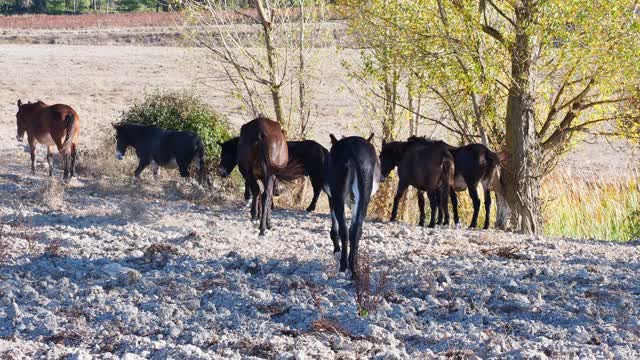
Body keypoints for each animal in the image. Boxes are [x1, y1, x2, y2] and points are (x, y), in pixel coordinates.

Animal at [328, 134, 378, 278]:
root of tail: (353, 149)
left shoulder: (333, 198)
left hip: (338, 196)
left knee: (345, 229)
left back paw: (344, 266)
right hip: (364, 194)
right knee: (356, 229)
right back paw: (353, 269)